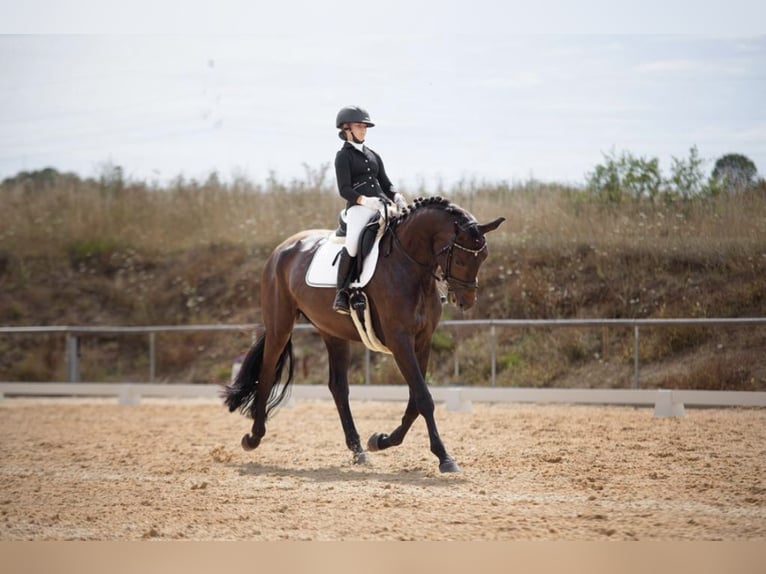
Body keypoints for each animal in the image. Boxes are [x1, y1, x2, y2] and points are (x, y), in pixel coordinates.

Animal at [225, 198, 508, 472]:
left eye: (483, 256)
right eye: (459, 259)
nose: (466, 301)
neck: (409, 266)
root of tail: (281, 249)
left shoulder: (423, 340)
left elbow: (415, 400)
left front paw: (381, 440)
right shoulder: (399, 340)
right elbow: (423, 398)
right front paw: (444, 457)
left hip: (333, 333)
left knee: (338, 387)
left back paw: (358, 450)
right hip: (280, 326)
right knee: (267, 373)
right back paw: (253, 437)